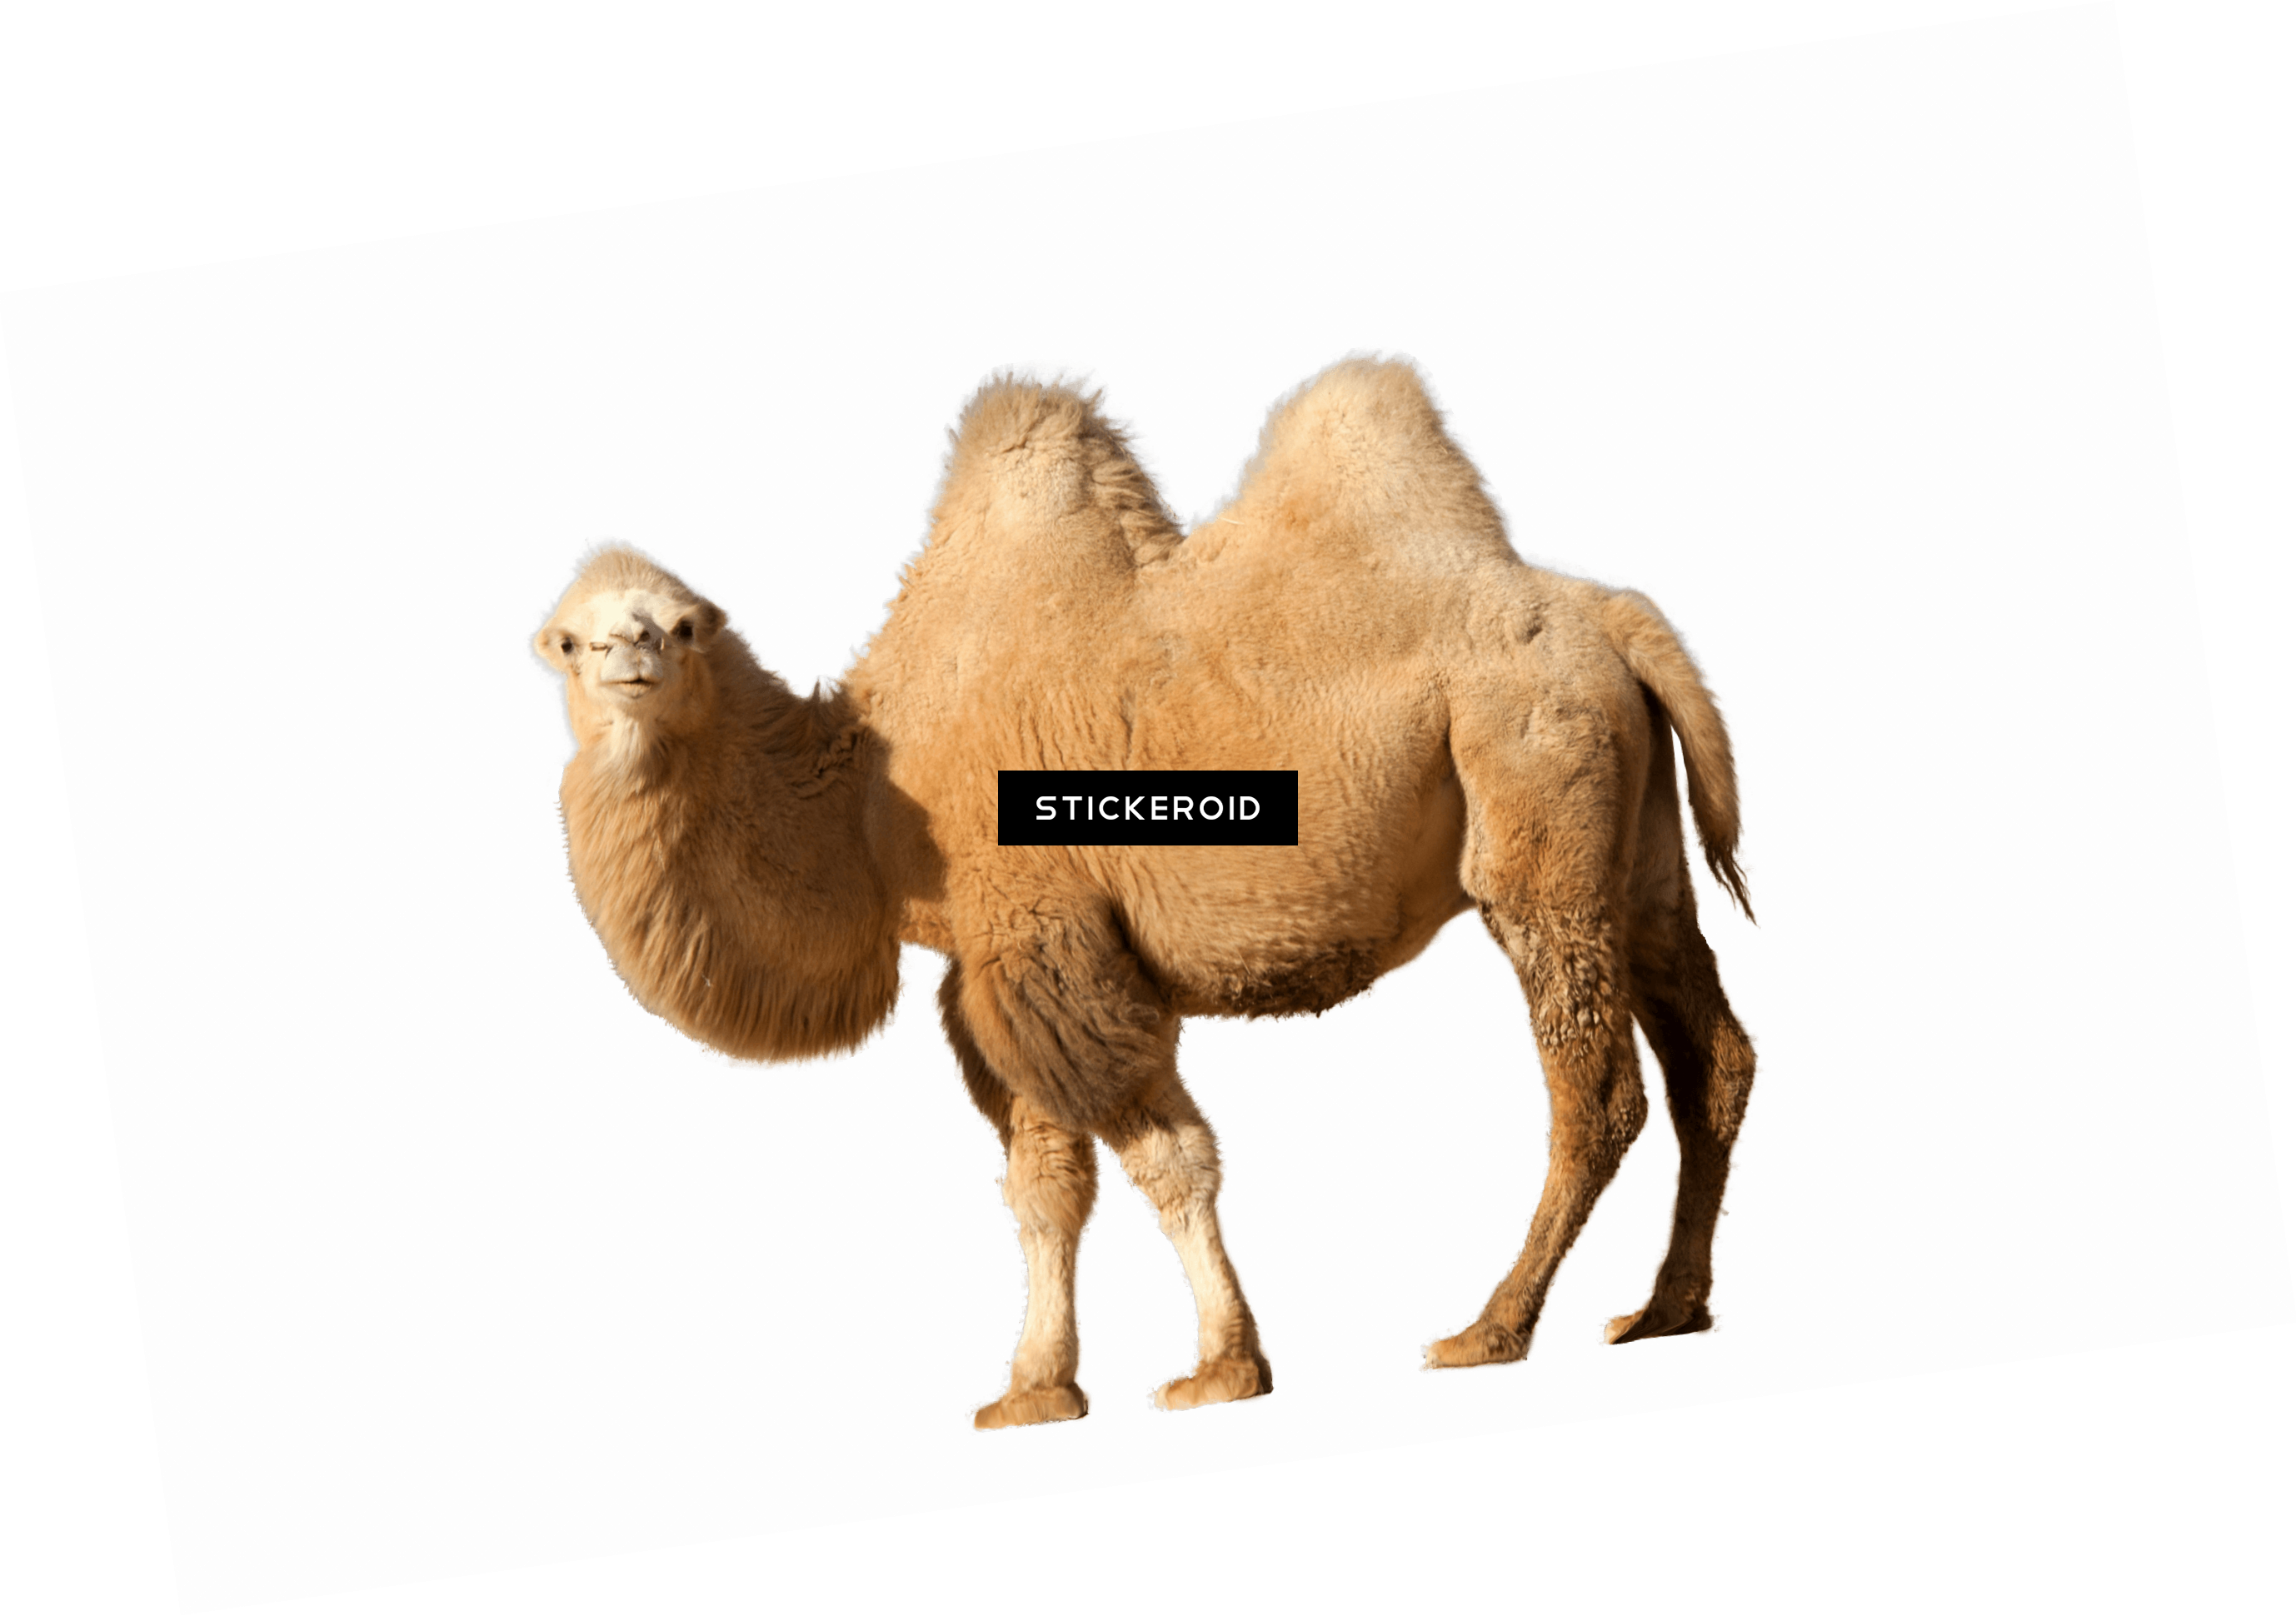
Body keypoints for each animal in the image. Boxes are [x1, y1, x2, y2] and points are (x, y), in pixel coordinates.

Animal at [527, 349, 1761, 1432]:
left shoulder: (1043, 936)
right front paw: (1036, 1391)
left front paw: (1218, 1369)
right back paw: (1663, 1312)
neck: (873, 785)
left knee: (1596, 1085)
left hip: (1536, 798)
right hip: (1638, 845)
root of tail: (1625, 619)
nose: (631, 657)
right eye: (570, 640)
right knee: (1713, 1049)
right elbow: (1044, 1186)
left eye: (679, 628)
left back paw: (1489, 1330)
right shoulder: (987, 968)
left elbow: (1167, 1158)